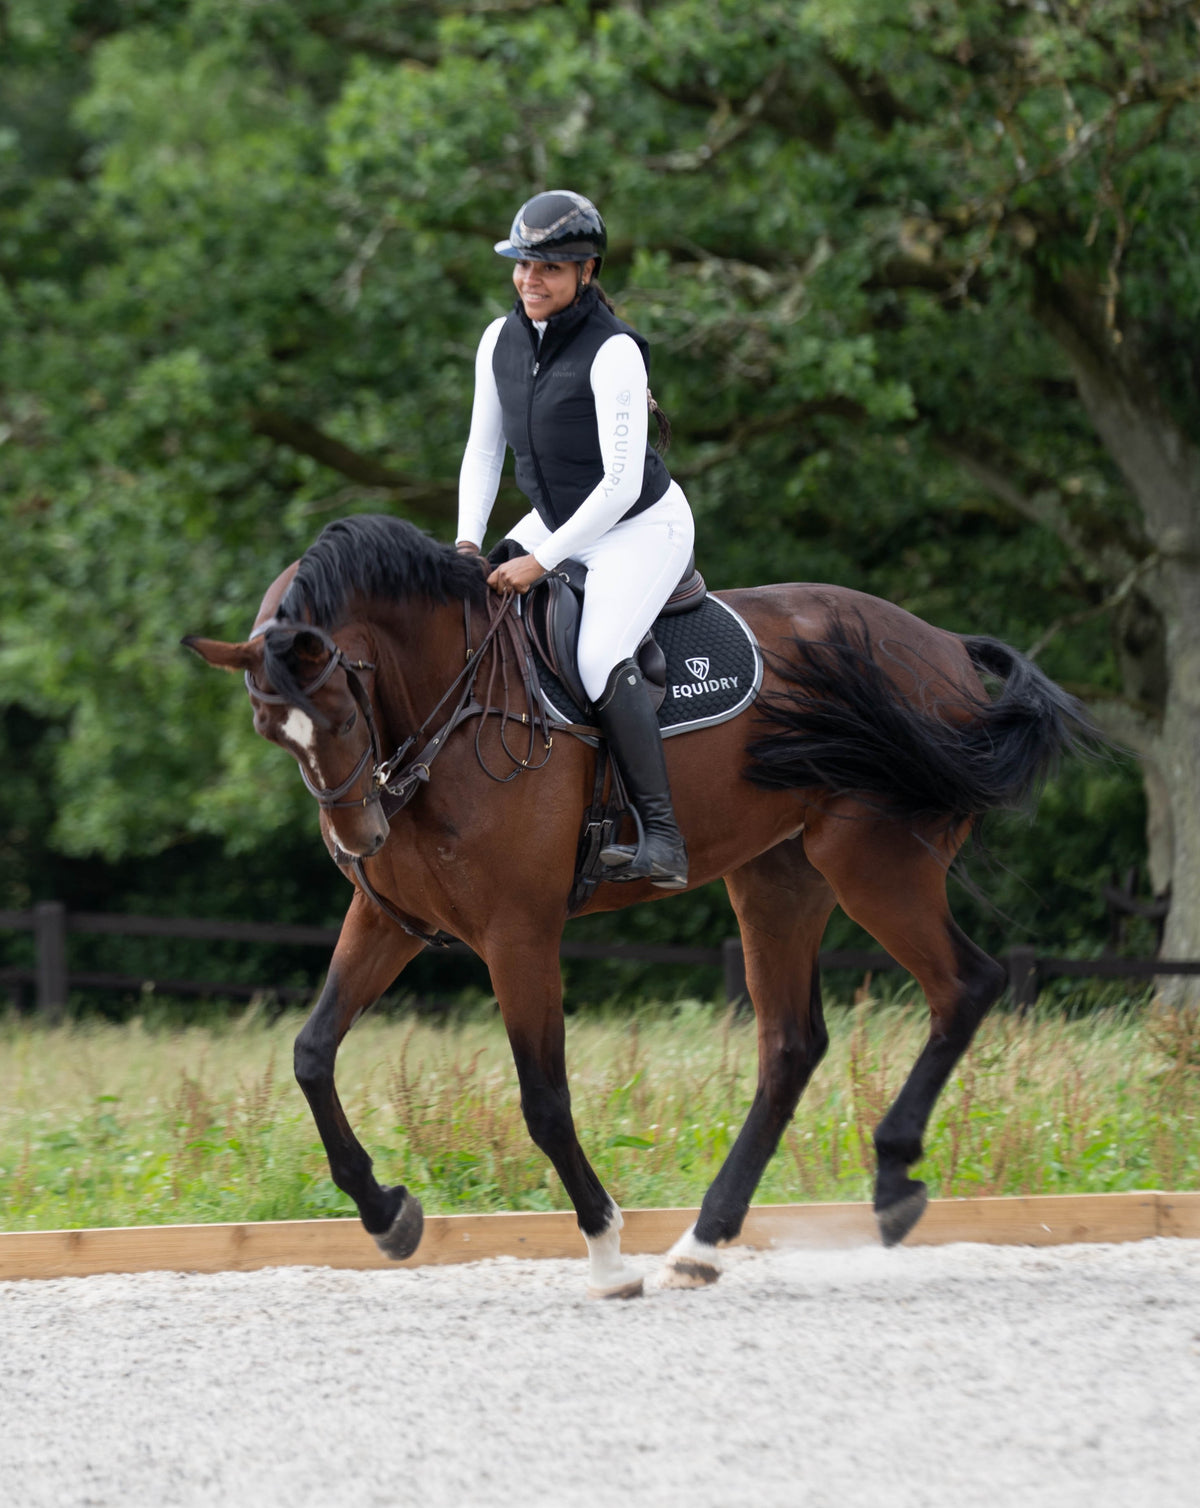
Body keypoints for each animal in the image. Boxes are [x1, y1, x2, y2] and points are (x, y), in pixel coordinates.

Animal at [185, 512, 1094, 1297]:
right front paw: (387, 1214)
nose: (360, 838)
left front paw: (605, 1251)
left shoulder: (519, 934)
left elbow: (545, 1101)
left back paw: (892, 1179)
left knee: (963, 987)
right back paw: (704, 1242)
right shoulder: (387, 921)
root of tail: (942, 645)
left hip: (876, 863)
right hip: (778, 878)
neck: (452, 697)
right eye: (270, 730)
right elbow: (312, 1055)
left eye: (342, 711)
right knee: (791, 1045)